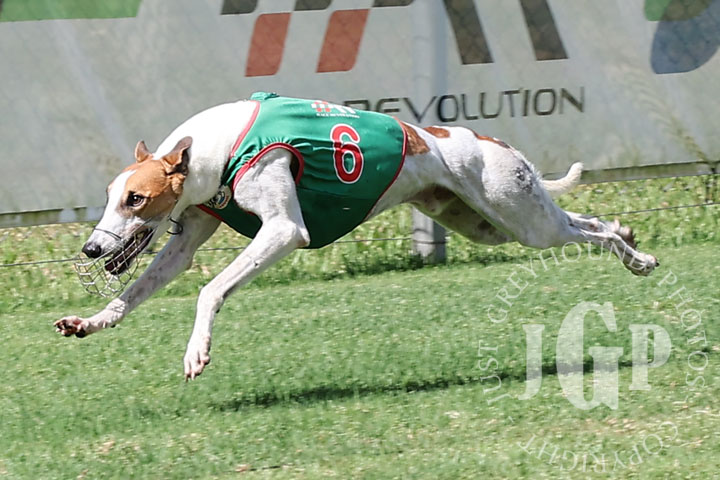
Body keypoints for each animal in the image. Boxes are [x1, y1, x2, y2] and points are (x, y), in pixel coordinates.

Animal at [54, 92, 658, 380]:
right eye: (110, 195)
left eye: (136, 199)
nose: (92, 248)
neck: (216, 148)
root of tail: (490, 141)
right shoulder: (186, 238)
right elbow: (139, 290)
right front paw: (89, 321)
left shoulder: (284, 230)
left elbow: (209, 290)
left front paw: (196, 353)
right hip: (488, 224)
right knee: (586, 225)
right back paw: (628, 236)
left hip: (522, 217)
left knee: (588, 228)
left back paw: (638, 256)